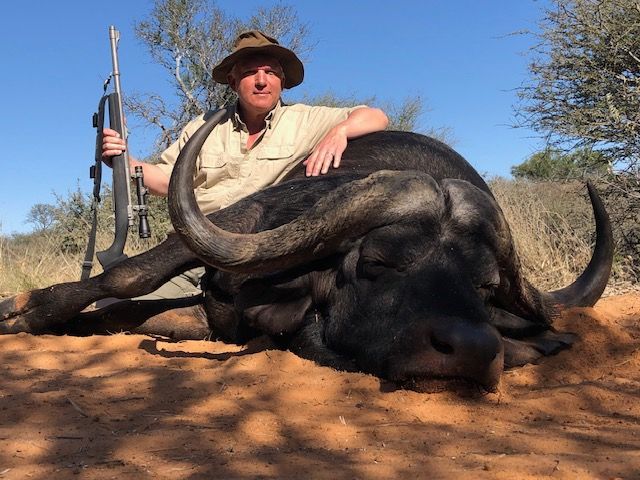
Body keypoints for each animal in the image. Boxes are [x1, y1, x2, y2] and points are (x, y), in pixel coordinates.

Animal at [0, 109, 613, 393]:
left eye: (486, 289)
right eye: (378, 264)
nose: (471, 348)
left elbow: (136, 312)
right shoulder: (239, 224)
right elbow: (127, 277)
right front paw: (23, 310)